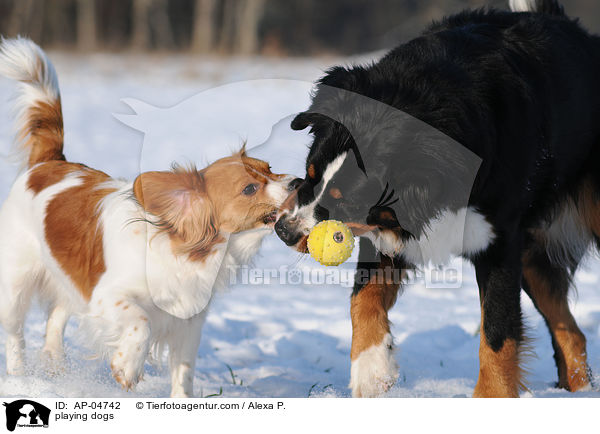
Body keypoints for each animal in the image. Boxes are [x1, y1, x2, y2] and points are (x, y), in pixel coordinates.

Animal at [0, 39, 298, 398]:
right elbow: (140, 323)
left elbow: (184, 371)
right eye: (250, 188)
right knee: (15, 333)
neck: (180, 249)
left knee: (56, 317)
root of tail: (49, 163)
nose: (298, 183)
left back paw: (56, 364)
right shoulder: (106, 296)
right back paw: (19, 377)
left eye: (270, 168)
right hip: (16, 284)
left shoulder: (188, 322)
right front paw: (127, 367)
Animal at [276, 0, 600, 398]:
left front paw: (491, 396)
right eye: (308, 174)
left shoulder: (497, 241)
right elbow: (362, 298)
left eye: (346, 202)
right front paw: (372, 371)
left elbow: (498, 333)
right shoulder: (386, 227)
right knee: (573, 335)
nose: (284, 231)